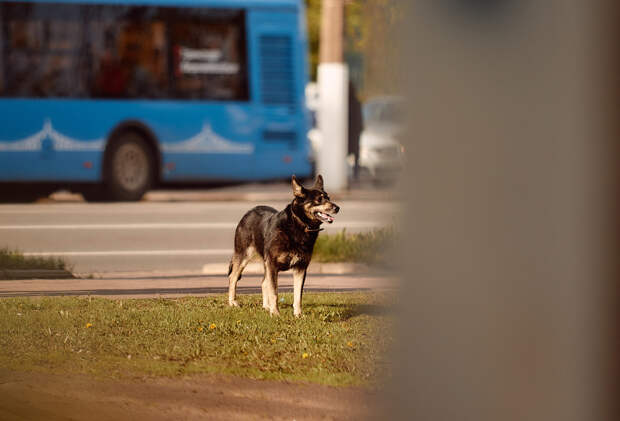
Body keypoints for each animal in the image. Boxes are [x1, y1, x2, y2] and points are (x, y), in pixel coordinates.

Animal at [226, 174, 340, 316]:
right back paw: (233, 303)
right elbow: (274, 292)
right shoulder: (273, 266)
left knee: (263, 282)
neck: (299, 224)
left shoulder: (300, 268)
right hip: (244, 256)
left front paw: (298, 315)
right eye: (319, 200)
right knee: (233, 277)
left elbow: (298, 295)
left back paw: (266, 307)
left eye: (328, 198)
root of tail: (249, 211)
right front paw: (275, 313)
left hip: (264, 262)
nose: (337, 208)